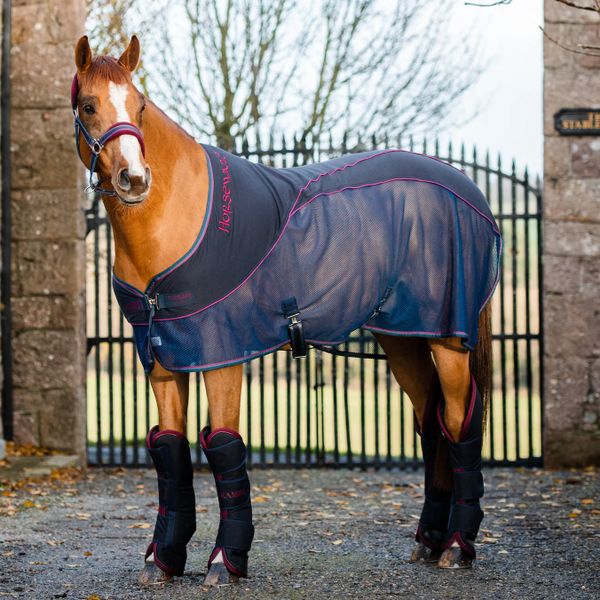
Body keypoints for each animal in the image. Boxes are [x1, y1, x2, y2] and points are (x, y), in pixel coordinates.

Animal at [72, 36, 500, 584]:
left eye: (140, 106)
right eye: (89, 106)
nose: (133, 178)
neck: (178, 217)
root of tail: (469, 191)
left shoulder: (222, 354)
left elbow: (224, 445)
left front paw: (224, 561)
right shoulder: (162, 357)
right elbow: (170, 450)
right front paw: (162, 559)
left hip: (448, 340)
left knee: (459, 421)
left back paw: (456, 546)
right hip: (403, 337)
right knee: (431, 423)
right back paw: (428, 541)